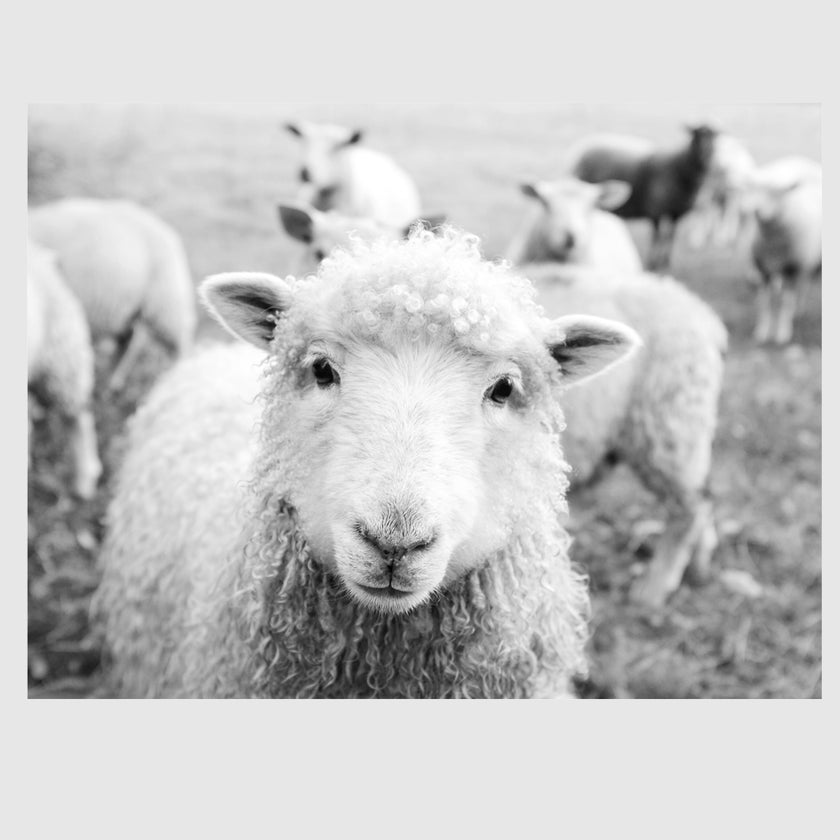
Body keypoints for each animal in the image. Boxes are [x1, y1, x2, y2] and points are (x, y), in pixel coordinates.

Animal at [28, 198, 197, 391]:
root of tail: (164, 228)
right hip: (128, 310)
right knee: (127, 342)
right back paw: (111, 382)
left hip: (166, 304)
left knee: (180, 345)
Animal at [522, 262, 728, 608]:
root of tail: (701, 313)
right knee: (704, 496)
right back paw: (699, 565)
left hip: (667, 422)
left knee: (691, 506)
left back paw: (655, 588)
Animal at [570, 125, 719, 271]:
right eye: (696, 135)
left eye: (715, 138)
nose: (706, 154)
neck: (678, 166)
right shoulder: (656, 211)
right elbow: (657, 237)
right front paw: (653, 263)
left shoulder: (677, 213)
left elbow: (671, 237)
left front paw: (666, 263)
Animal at [744, 158, 821, 345]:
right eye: (754, 188)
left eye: (776, 193)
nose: (755, 210)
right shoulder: (762, 268)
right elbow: (764, 302)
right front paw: (762, 332)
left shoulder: (792, 268)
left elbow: (787, 302)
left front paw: (782, 334)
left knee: (802, 288)